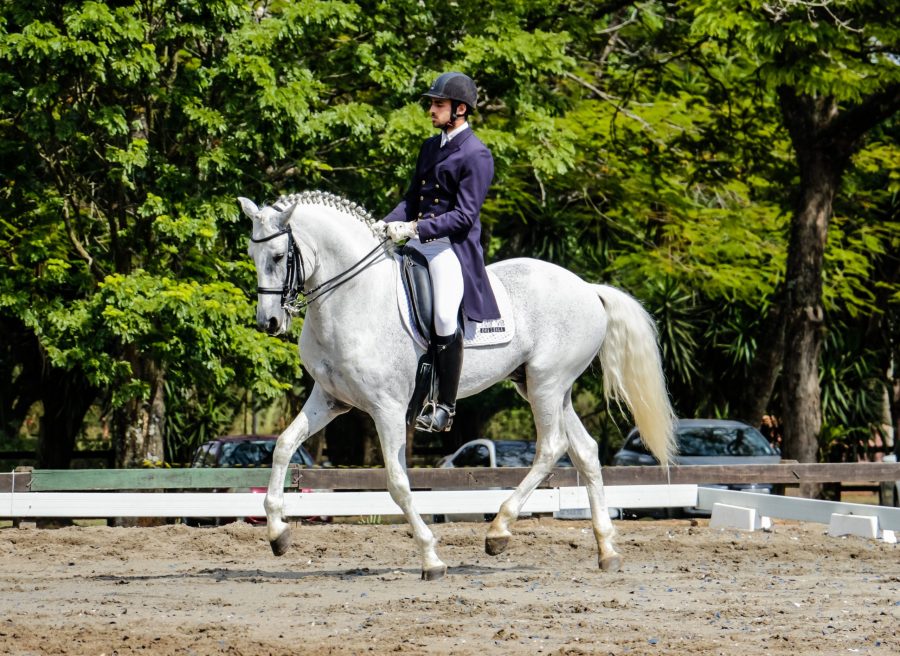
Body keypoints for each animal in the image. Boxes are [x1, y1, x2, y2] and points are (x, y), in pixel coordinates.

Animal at [240, 191, 675, 580]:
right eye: (252, 256)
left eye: (278, 257)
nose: (269, 323)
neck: (354, 298)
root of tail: (588, 288)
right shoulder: (330, 399)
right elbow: (283, 446)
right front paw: (278, 533)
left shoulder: (387, 409)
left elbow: (397, 484)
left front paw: (431, 558)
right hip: (546, 386)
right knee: (584, 450)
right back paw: (606, 550)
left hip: (546, 384)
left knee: (552, 447)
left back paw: (499, 531)